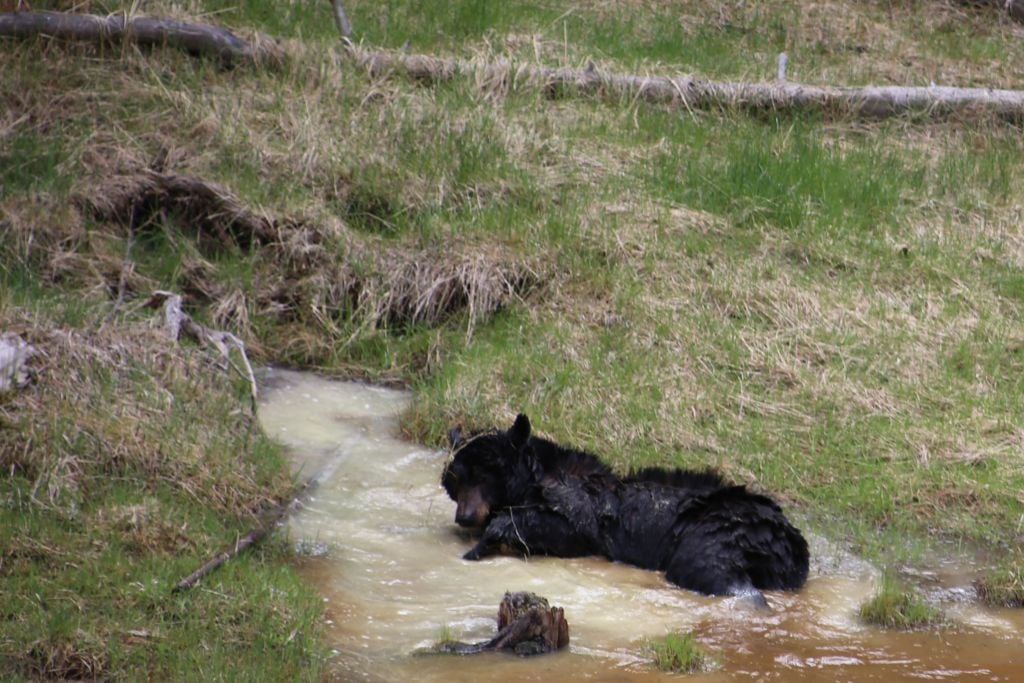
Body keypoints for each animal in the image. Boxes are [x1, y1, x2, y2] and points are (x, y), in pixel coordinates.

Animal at [440, 413, 806, 606]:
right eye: (457, 478)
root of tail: (782, 535)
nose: (466, 516)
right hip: (782, 567)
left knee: (705, 567)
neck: (539, 476)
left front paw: (481, 544)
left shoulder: (575, 510)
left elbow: (552, 527)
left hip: (713, 532)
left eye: (486, 475)